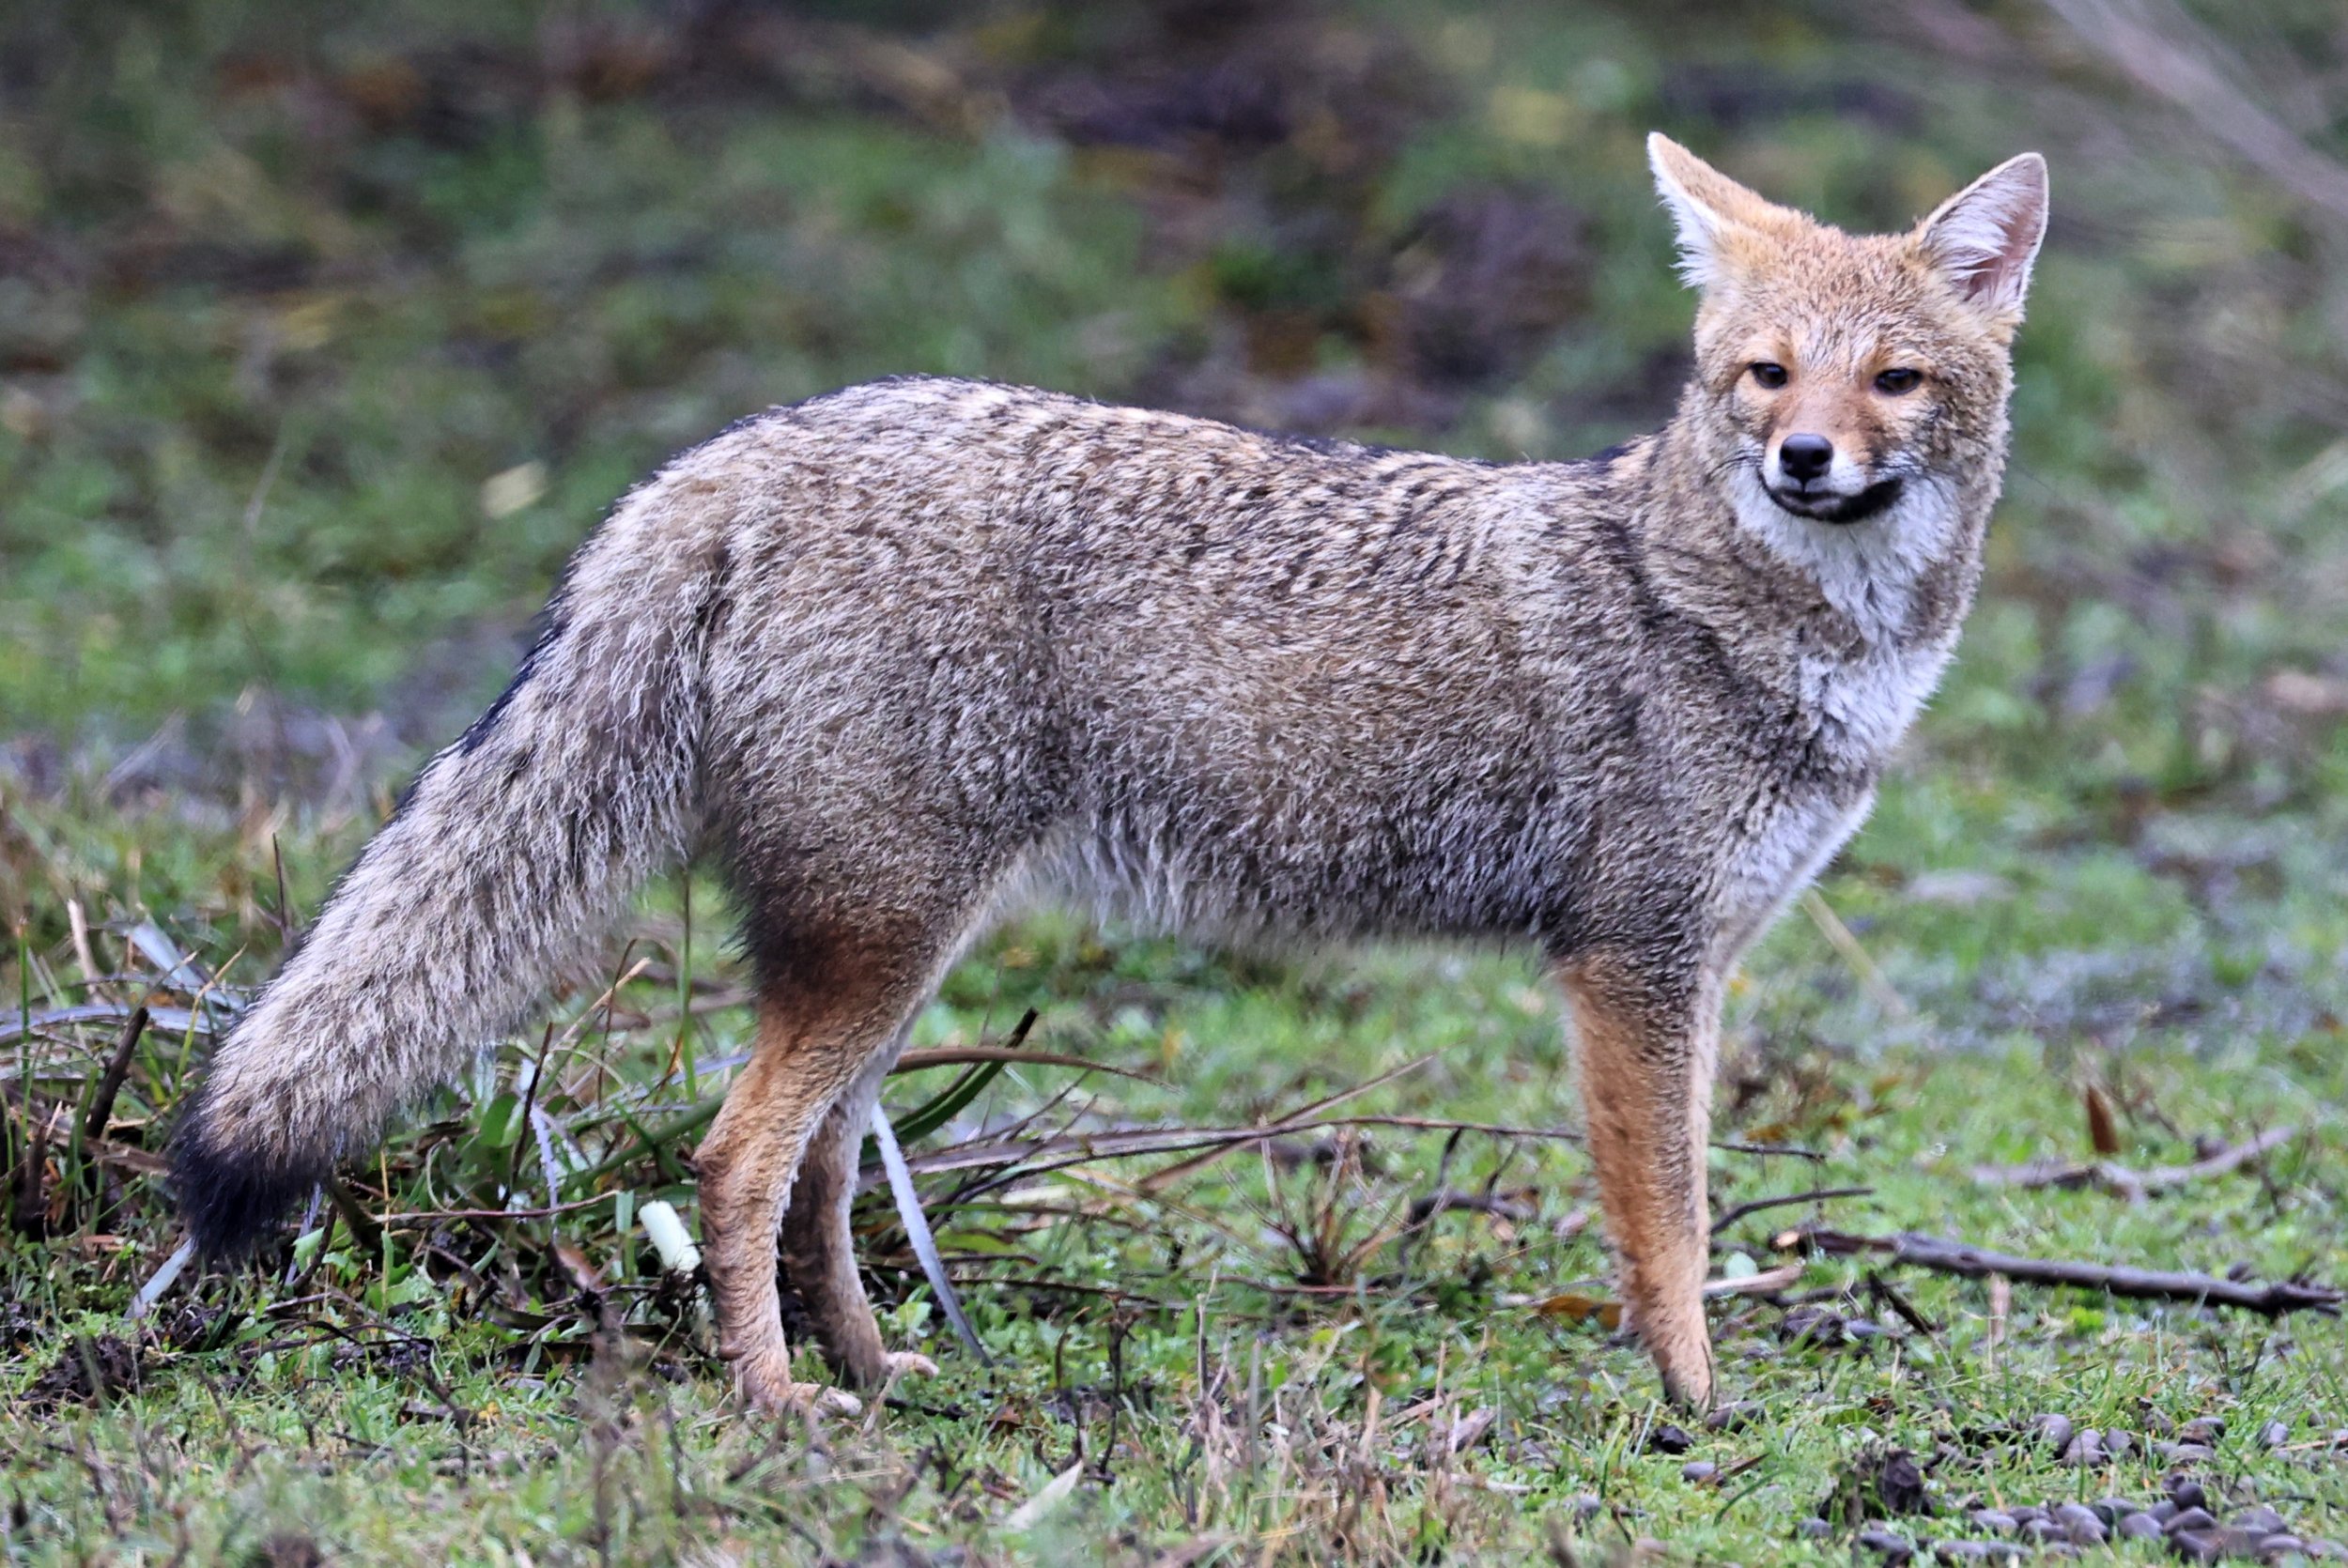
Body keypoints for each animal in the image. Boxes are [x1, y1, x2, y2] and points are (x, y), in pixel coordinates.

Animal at [172, 134, 2048, 1414]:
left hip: (890, 960)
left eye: (1893, 380)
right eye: (1765, 375)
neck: (1744, 615)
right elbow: (1670, 1222)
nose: (1803, 458)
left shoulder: (1691, 964)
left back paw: (884, 1371)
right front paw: (1692, 1402)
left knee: (824, 1169)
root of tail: (737, 449)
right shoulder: (1633, 968)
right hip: (881, 944)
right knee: (732, 1156)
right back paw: (774, 1400)